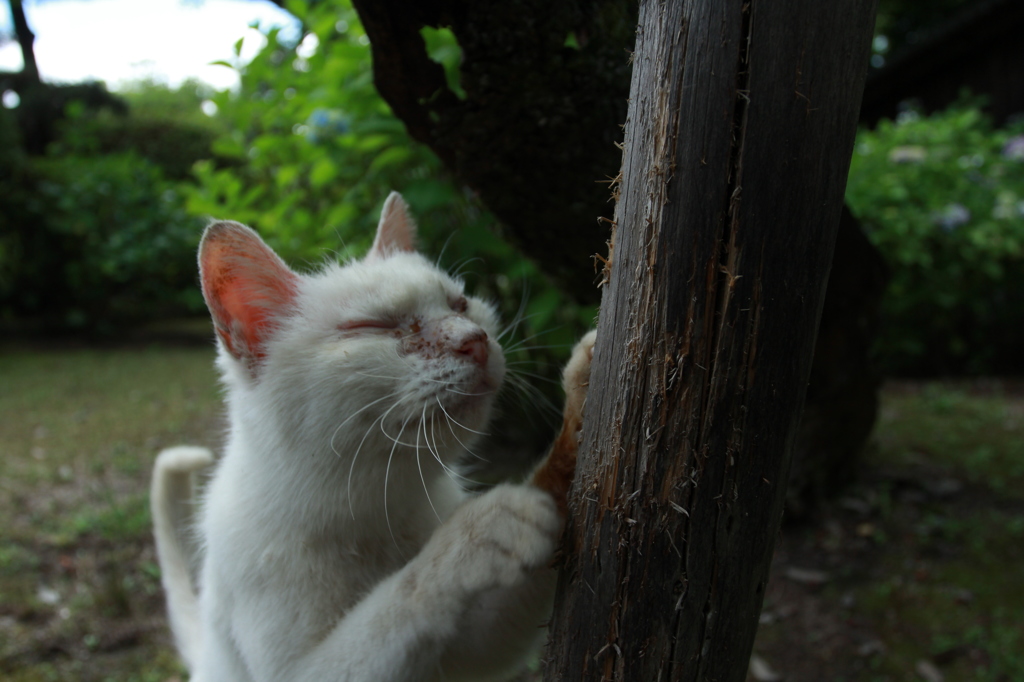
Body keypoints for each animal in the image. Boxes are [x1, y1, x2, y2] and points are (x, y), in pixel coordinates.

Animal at [152, 189, 598, 679]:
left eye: (460, 304)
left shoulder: (468, 653)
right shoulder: (298, 669)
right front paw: (482, 529)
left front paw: (583, 398)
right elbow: (401, 596)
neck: (375, 506)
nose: (475, 340)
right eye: (375, 327)